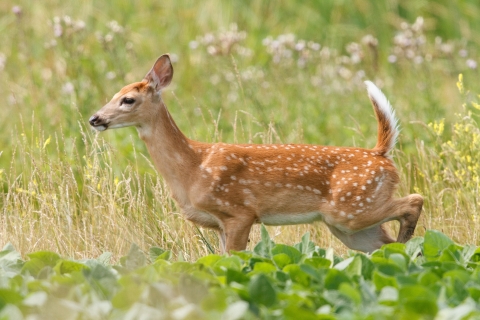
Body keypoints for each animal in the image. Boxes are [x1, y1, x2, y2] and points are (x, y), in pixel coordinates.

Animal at [88, 55, 422, 255]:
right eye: (113, 95)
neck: (193, 168)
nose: (95, 118)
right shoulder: (218, 223)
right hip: (348, 225)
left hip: (351, 208)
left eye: (128, 100)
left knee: (414, 201)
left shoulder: (239, 212)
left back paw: (408, 238)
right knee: (385, 247)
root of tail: (380, 153)